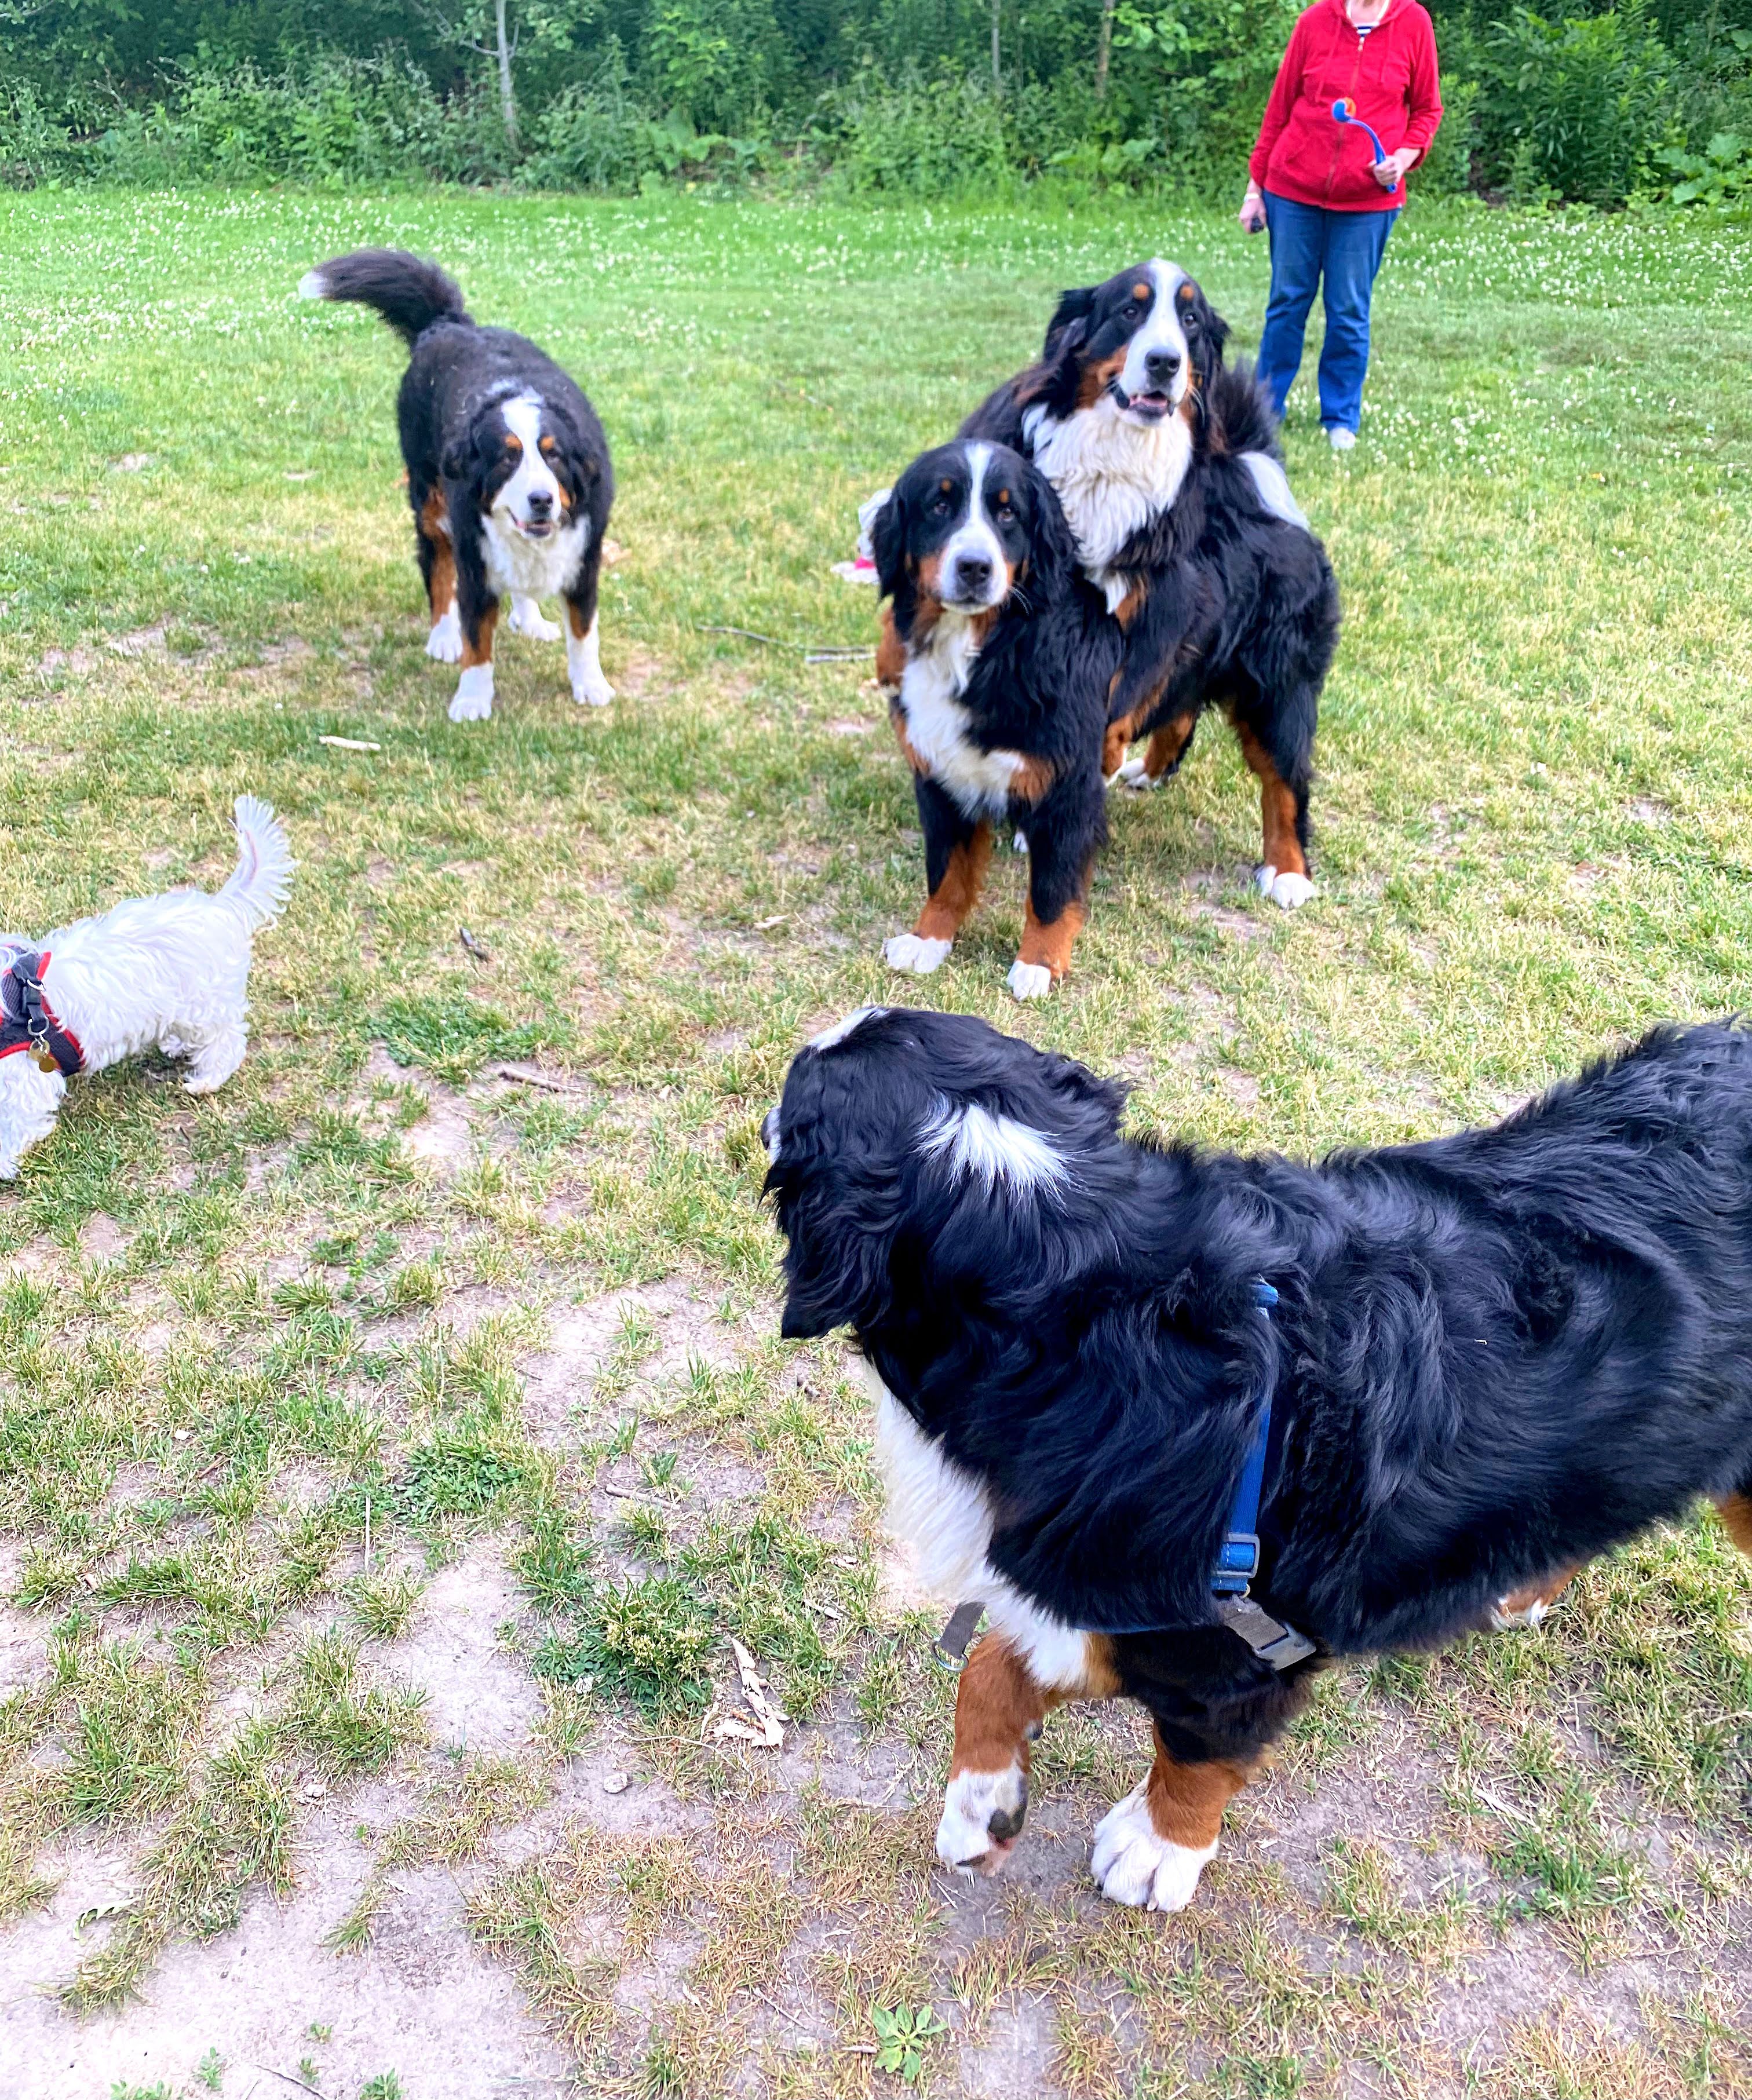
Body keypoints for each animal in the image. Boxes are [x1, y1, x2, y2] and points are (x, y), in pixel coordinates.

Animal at [304, 250, 618, 726]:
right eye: (507, 458)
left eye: (555, 456)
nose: (541, 500)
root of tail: (449, 323)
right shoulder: (474, 559)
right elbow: (477, 637)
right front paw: (472, 698)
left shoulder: (585, 557)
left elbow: (584, 633)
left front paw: (590, 685)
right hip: (431, 503)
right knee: (437, 568)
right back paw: (443, 636)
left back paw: (530, 618)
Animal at [764, 1008, 1747, 1915]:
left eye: (804, 1095)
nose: (796, 1055)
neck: (1081, 1284)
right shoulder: (1094, 1577)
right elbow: (991, 1673)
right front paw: (982, 1804)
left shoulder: (1227, 1639)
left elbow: (1197, 1752)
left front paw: (1158, 1848)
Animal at [870, 439, 1117, 995]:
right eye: (939, 505)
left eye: (1008, 513)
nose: (975, 567)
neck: (983, 650)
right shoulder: (941, 777)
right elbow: (946, 871)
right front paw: (929, 939)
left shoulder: (1069, 784)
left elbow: (1052, 885)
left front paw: (1039, 963)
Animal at [958, 256, 1336, 911]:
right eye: (1130, 310)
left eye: (1190, 321)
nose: (1166, 362)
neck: (1113, 458)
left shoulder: (1165, 601)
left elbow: (1118, 696)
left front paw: (1083, 772)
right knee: (1181, 709)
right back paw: (1149, 771)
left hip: (1279, 680)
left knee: (1286, 778)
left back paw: (1289, 870)